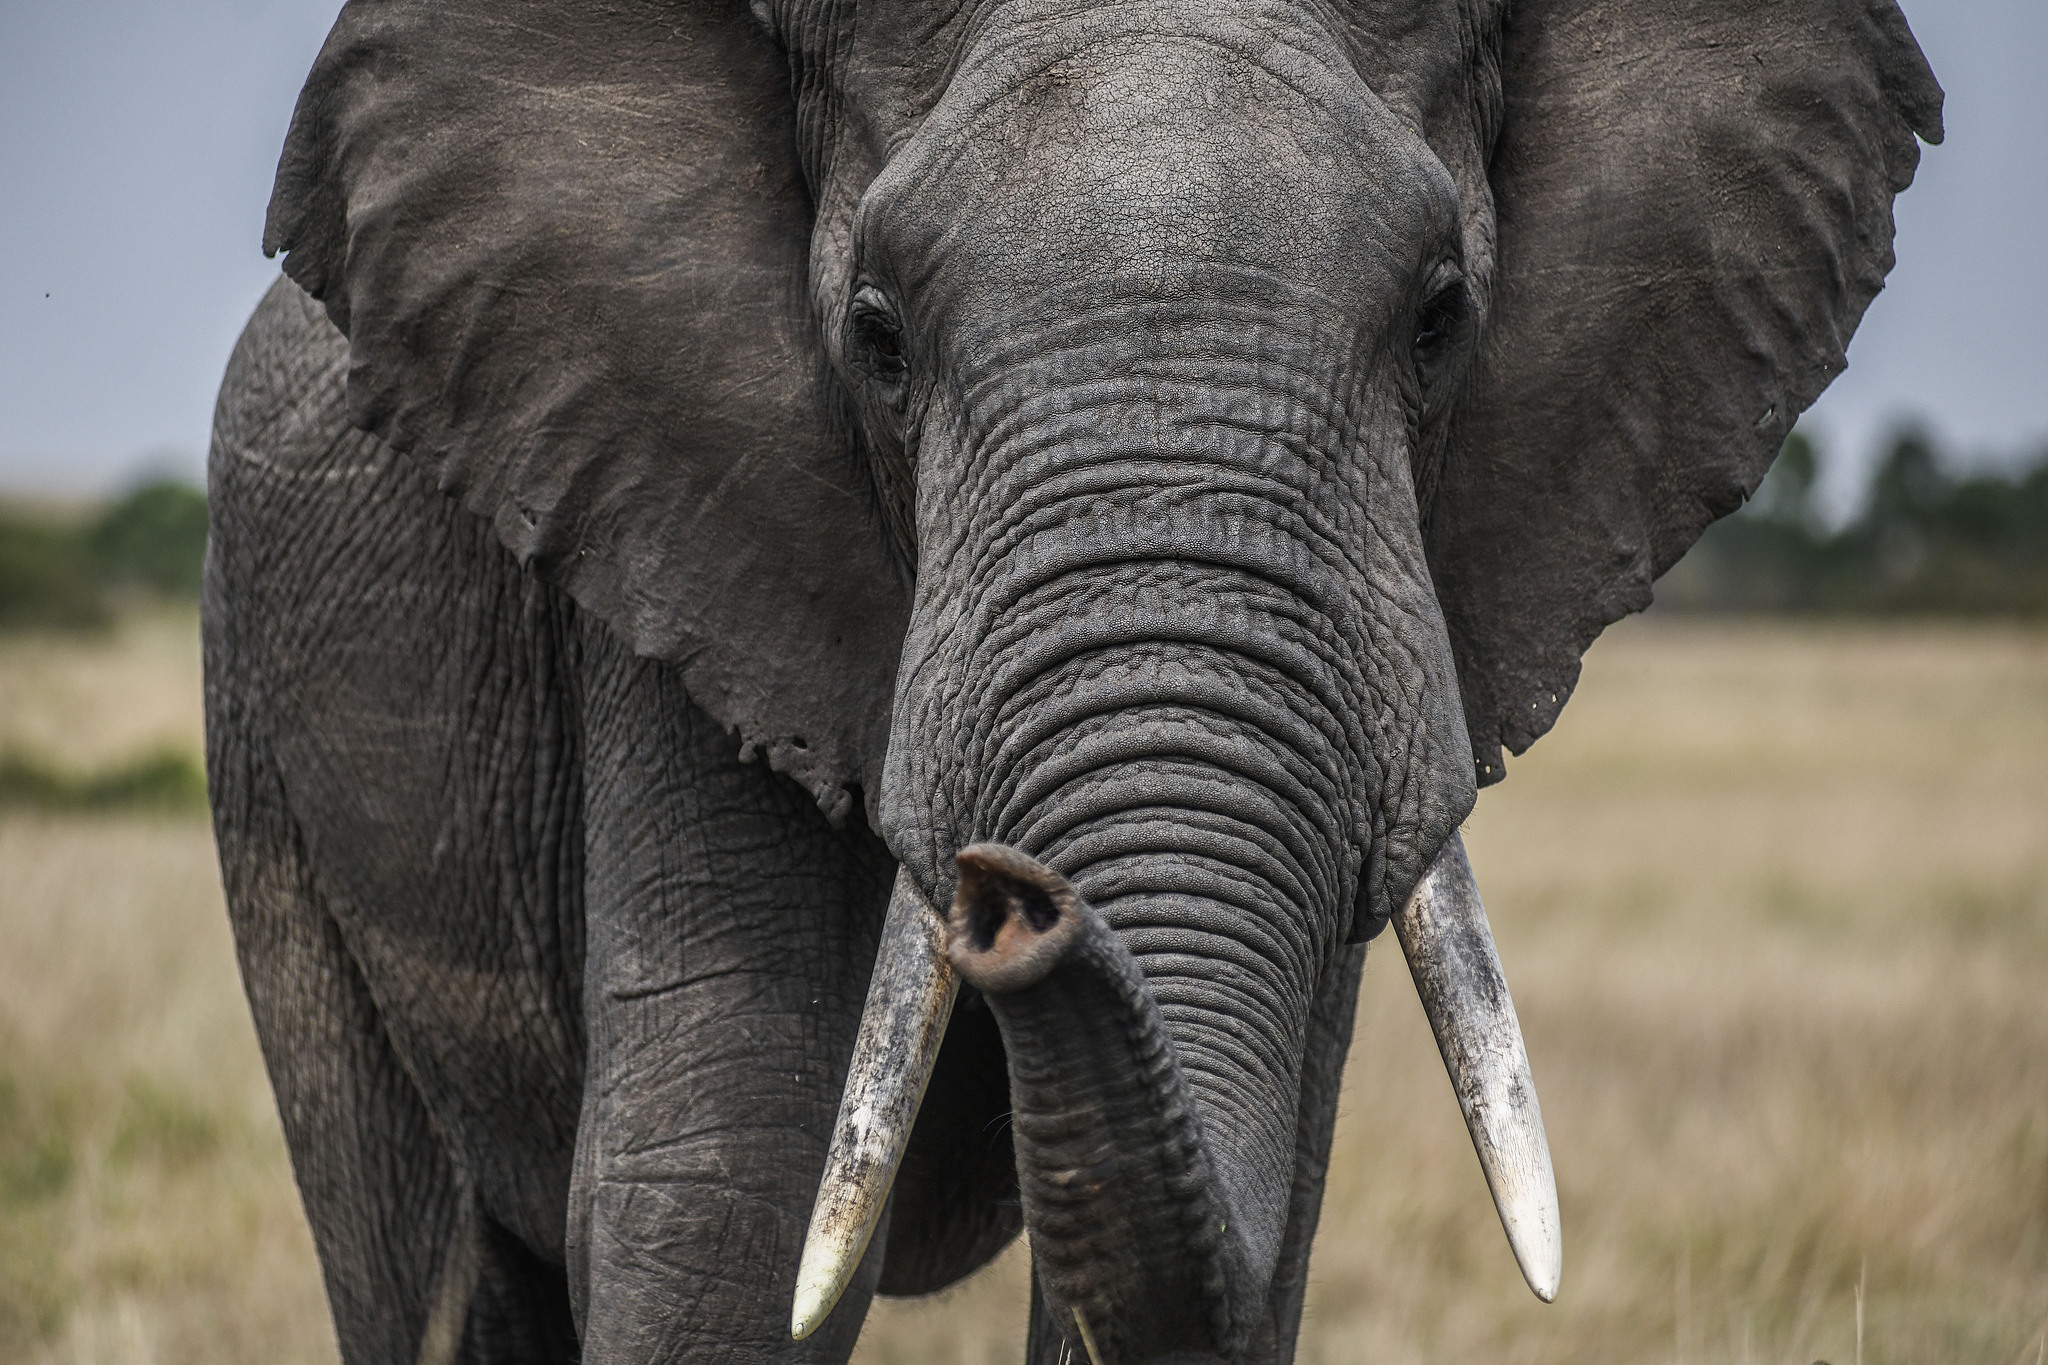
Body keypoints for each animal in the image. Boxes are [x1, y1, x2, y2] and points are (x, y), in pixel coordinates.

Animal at [202, 0, 1940, 1360]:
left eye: (1442, 317)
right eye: (877, 337)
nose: (1021, 906)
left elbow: (1262, 1203)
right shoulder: (665, 519)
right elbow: (731, 1193)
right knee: (428, 1273)